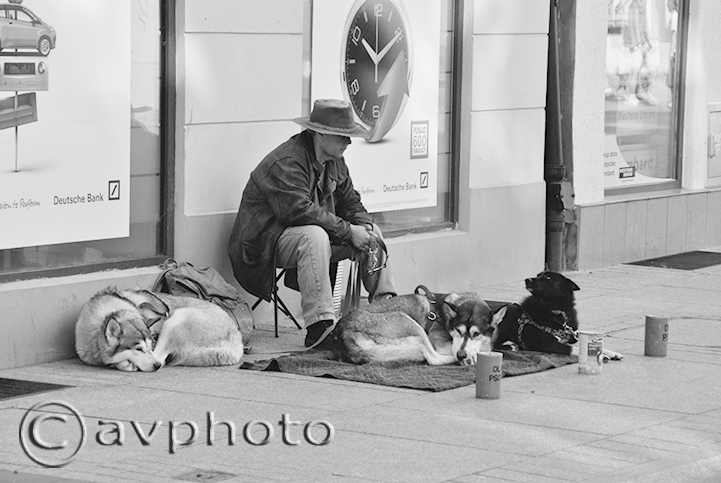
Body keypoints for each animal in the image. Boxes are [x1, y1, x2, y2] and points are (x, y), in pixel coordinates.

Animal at [75, 287, 245, 371]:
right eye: (139, 349)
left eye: (149, 346)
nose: (155, 367)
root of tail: (236, 335)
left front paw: (125, 364)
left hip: (174, 321)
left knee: (162, 357)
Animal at [331, 286, 499, 366]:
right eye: (458, 330)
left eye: (476, 333)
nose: (461, 355)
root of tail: (342, 330)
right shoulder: (443, 346)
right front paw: (470, 356)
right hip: (409, 322)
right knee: (433, 358)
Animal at [491, 271, 623, 360]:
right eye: (538, 275)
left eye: (547, 277)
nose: (527, 279)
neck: (555, 311)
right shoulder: (549, 344)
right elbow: (575, 348)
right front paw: (601, 356)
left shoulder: (571, 336)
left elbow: (584, 344)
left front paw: (611, 353)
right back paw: (512, 346)